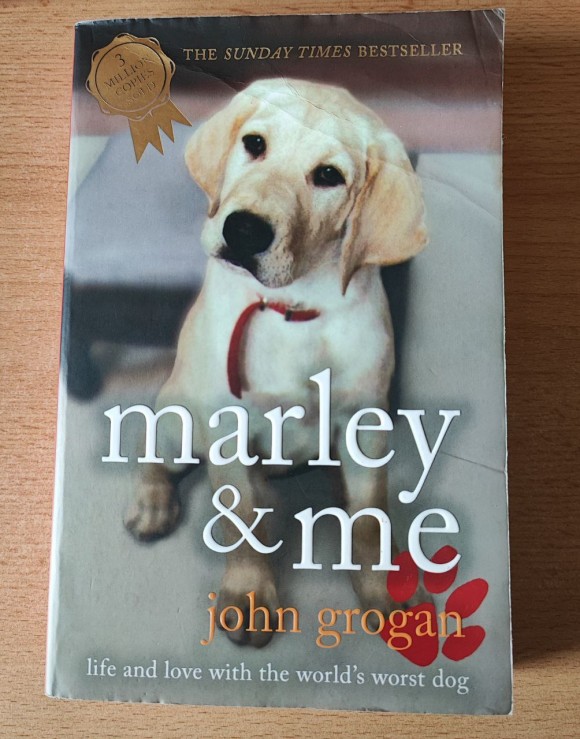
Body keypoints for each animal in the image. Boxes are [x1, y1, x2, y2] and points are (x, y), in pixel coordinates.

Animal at [125, 78, 427, 646]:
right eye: (254, 144)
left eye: (329, 176)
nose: (244, 231)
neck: (293, 309)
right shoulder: (225, 426)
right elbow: (241, 517)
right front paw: (248, 594)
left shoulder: (366, 423)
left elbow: (370, 518)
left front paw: (385, 588)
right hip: (178, 421)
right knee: (153, 455)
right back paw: (152, 503)